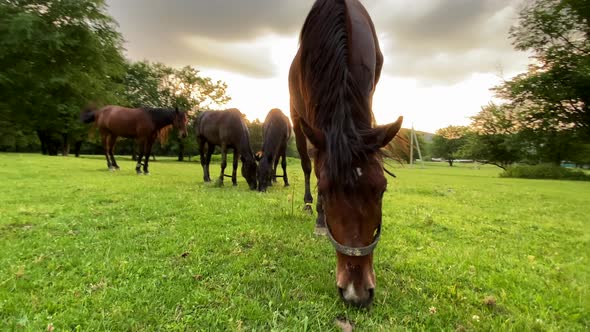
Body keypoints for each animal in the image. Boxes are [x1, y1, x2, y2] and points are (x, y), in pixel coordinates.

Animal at [292, 0, 408, 308]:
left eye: (382, 190)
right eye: (325, 191)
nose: (357, 293)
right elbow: (314, 165)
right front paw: (320, 216)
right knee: (306, 162)